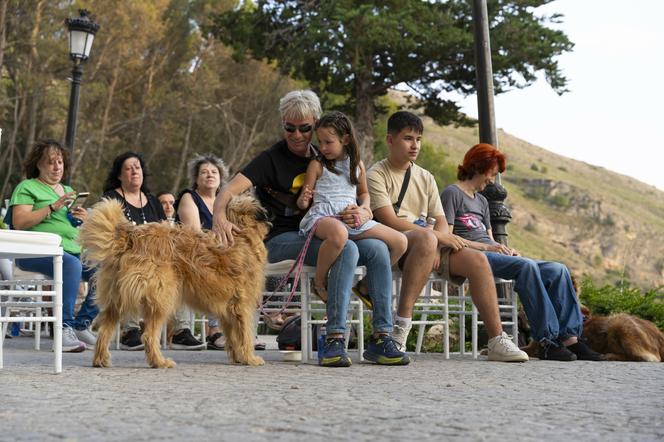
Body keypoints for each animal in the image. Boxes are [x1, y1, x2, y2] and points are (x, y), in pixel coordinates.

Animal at [81, 196, 270, 366]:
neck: (244, 235)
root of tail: (130, 238)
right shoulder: (242, 307)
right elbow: (245, 335)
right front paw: (249, 358)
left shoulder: (227, 311)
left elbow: (233, 337)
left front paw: (238, 357)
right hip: (161, 299)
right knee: (148, 335)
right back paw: (159, 362)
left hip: (117, 299)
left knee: (105, 331)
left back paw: (101, 360)